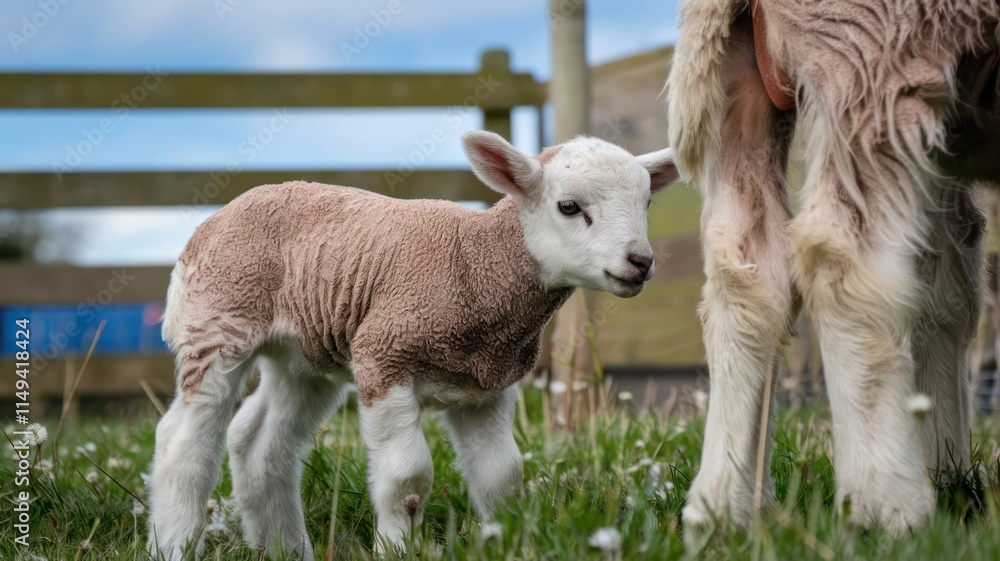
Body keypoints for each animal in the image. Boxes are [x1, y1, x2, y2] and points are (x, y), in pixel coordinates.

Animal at [146, 130, 678, 559]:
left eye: (647, 205)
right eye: (569, 207)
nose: (640, 262)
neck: (474, 265)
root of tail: (216, 218)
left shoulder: (486, 387)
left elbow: (502, 475)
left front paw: (503, 541)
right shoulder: (386, 357)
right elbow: (407, 478)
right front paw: (397, 547)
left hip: (303, 355)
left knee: (258, 444)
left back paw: (285, 549)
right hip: (219, 320)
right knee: (182, 441)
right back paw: (173, 544)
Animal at [668, 0, 1000, 535]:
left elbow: (948, 287)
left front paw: (949, 471)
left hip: (742, 68)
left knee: (748, 269)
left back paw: (723, 509)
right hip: (873, 47)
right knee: (843, 259)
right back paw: (884, 508)